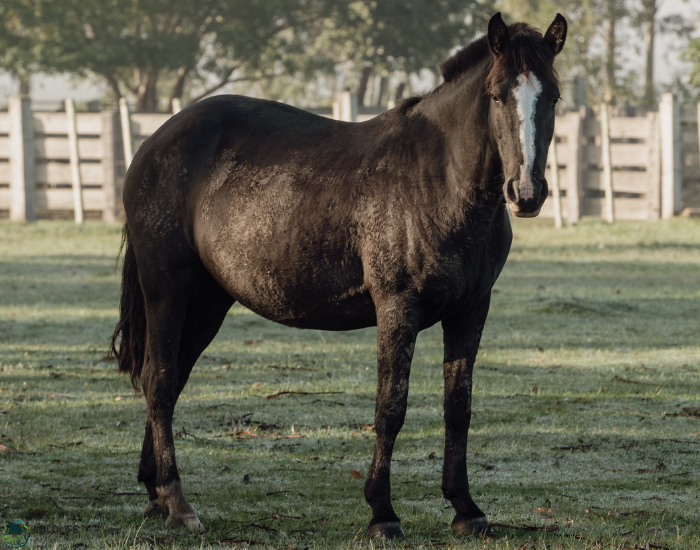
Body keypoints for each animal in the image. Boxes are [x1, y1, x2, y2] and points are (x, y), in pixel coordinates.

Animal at [111, 12, 567, 539]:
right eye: (496, 94)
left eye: (553, 96)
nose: (527, 191)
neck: (441, 181)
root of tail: (153, 143)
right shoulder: (397, 307)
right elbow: (391, 408)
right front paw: (382, 513)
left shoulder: (471, 310)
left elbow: (458, 409)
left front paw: (466, 508)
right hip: (168, 290)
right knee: (160, 380)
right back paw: (178, 501)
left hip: (207, 302)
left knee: (172, 378)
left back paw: (155, 493)